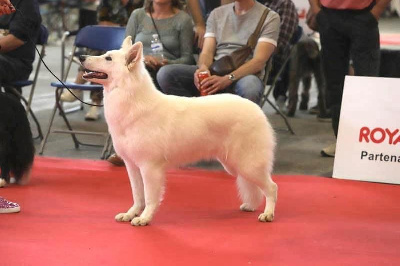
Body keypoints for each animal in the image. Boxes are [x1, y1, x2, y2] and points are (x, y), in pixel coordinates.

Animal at [79, 36, 276, 225]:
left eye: (108, 58)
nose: (81, 56)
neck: (132, 99)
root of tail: (257, 109)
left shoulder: (150, 168)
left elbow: (150, 198)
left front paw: (144, 218)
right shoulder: (132, 166)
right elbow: (137, 196)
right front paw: (130, 214)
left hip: (248, 164)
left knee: (272, 187)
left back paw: (268, 214)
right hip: (235, 165)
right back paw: (251, 206)